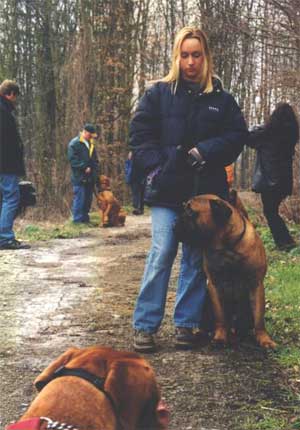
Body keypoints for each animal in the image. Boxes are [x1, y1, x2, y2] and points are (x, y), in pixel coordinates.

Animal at [175, 195, 276, 350]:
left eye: (191, 212)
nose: (175, 223)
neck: (225, 247)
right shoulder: (214, 285)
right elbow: (220, 316)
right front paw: (220, 338)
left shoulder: (256, 284)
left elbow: (259, 318)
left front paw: (265, 339)